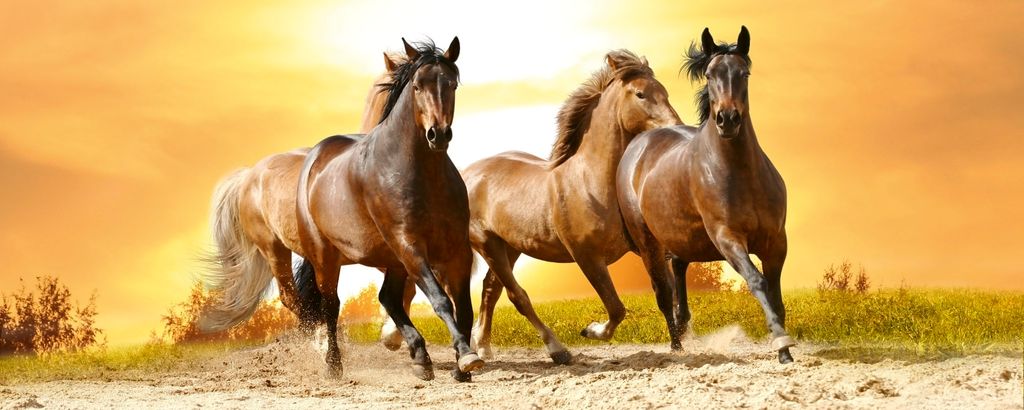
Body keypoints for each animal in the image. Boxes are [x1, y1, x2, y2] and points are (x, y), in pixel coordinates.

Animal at [294, 37, 484, 381]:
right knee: (332, 305)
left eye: (451, 84)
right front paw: (466, 356)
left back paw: (420, 358)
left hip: (392, 259)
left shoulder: (456, 250)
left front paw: (462, 365)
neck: (422, 175)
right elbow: (441, 301)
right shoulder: (410, 245)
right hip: (327, 257)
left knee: (389, 298)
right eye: (418, 86)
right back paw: (334, 365)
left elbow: (463, 306)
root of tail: (314, 158)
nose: (438, 134)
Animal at [455, 50, 681, 364]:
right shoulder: (587, 257)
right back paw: (557, 350)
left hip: (509, 247)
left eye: (665, 92)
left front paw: (679, 345)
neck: (591, 182)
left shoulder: (648, 247)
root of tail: (467, 174)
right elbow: (616, 308)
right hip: (488, 244)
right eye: (640, 94)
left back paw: (483, 346)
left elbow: (665, 294)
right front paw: (590, 330)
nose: (675, 127)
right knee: (517, 296)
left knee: (491, 290)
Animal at [616, 26, 797, 363]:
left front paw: (785, 347)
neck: (741, 174)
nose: (727, 119)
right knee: (663, 293)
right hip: (648, 243)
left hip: (681, 238)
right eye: (710, 75)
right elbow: (757, 281)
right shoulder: (727, 238)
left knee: (678, 273)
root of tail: (638, 143)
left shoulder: (776, 241)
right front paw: (781, 343)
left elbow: (776, 294)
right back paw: (676, 347)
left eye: (744, 73)